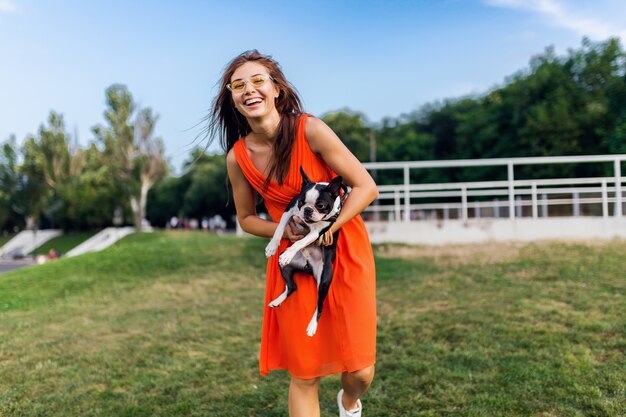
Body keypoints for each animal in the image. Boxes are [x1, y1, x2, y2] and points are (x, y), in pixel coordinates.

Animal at [264, 166, 346, 334]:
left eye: (320, 205)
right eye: (301, 202)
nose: (307, 210)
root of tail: (308, 266)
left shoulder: (316, 232)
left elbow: (300, 242)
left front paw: (290, 253)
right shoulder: (289, 210)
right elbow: (279, 229)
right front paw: (272, 246)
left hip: (324, 279)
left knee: (320, 305)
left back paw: (312, 326)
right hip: (285, 267)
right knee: (292, 286)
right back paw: (277, 300)